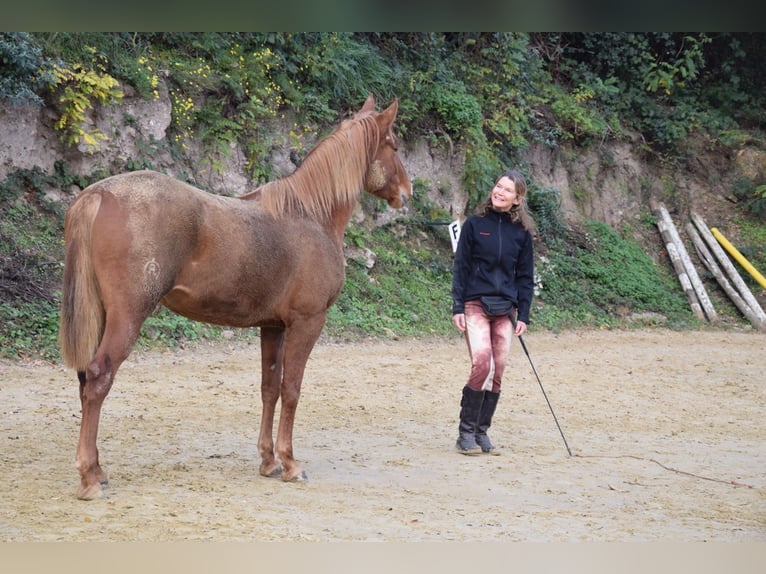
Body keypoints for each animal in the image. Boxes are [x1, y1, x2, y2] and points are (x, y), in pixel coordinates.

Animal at [58, 94, 414, 500]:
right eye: (394, 146)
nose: (407, 192)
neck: (311, 216)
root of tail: (98, 194)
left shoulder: (273, 327)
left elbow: (269, 388)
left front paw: (269, 461)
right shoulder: (307, 323)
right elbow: (292, 389)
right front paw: (290, 463)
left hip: (102, 314)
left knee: (85, 379)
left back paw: (99, 471)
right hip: (127, 317)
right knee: (98, 378)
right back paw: (89, 477)